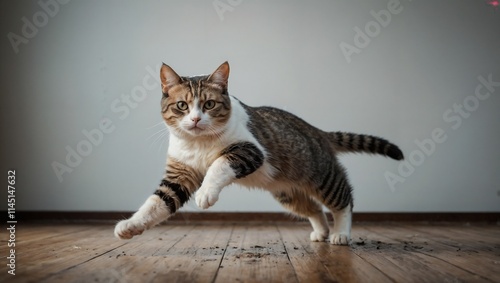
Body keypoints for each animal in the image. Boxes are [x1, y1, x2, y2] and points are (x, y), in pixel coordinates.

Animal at [113, 62, 402, 246]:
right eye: (182, 105)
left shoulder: (250, 150)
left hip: (322, 176)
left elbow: (219, 164)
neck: (199, 144)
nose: (195, 119)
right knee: (314, 209)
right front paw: (131, 225)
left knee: (343, 199)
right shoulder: (179, 174)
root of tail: (314, 129)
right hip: (286, 191)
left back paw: (340, 234)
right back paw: (321, 232)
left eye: (209, 104)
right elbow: (157, 203)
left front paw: (206, 193)